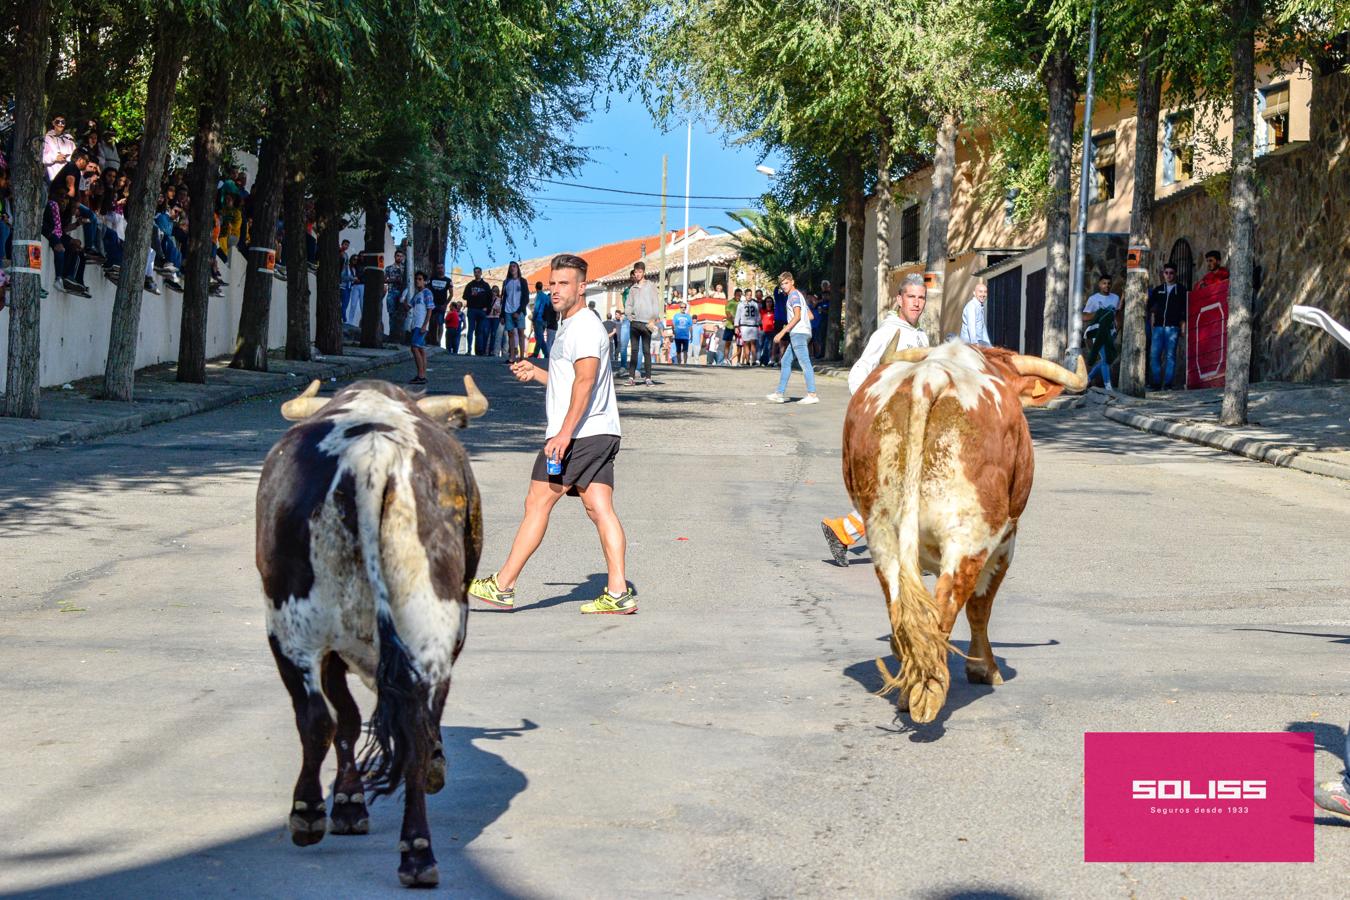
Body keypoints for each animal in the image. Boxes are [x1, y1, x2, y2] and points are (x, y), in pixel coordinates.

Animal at [255, 375, 488, 885]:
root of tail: (372, 454)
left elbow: (345, 719)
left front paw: (346, 804)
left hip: (291, 629)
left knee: (317, 719)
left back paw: (309, 813)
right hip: (426, 630)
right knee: (412, 730)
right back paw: (417, 850)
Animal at [842, 340, 1085, 723]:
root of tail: (931, 377)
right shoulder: (1006, 542)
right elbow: (980, 608)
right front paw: (984, 668)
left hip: (882, 532)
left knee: (901, 609)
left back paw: (910, 687)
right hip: (971, 535)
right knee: (948, 603)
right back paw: (927, 694)